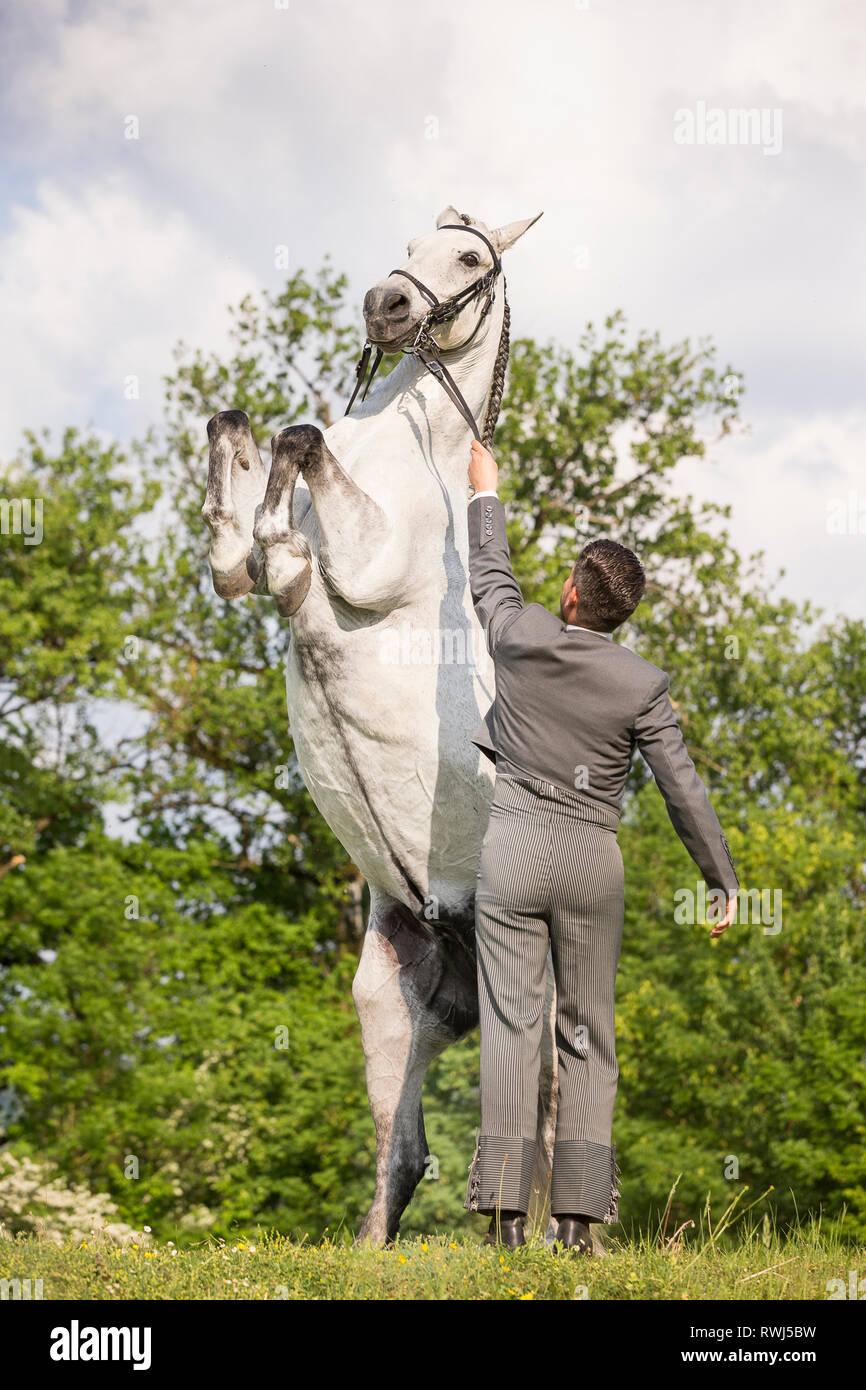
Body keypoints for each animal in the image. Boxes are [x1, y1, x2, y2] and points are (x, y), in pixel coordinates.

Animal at [202, 202, 544, 1239]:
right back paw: (369, 1248)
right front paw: (237, 440)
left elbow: (302, 461)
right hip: (397, 993)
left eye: (470, 256)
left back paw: (551, 1240)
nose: (386, 306)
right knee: (408, 1144)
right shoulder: (248, 579)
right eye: (412, 243)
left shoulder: (362, 564)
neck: (413, 437)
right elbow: (242, 494)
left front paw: (280, 501)